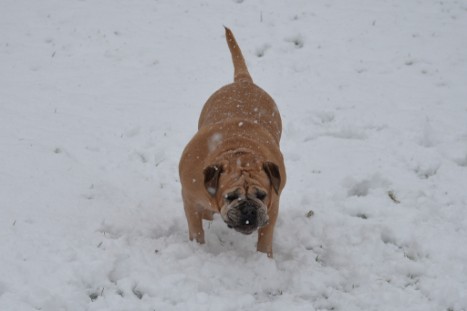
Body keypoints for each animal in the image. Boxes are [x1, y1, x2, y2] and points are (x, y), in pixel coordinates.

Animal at [179, 28, 288, 258]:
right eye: (230, 197)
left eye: (262, 195)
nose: (248, 209)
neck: (238, 154)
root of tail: (243, 81)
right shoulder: (190, 199)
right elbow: (196, 227)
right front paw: (199, 248)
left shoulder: (273, 205)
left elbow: (266, 236)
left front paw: (263, 258)